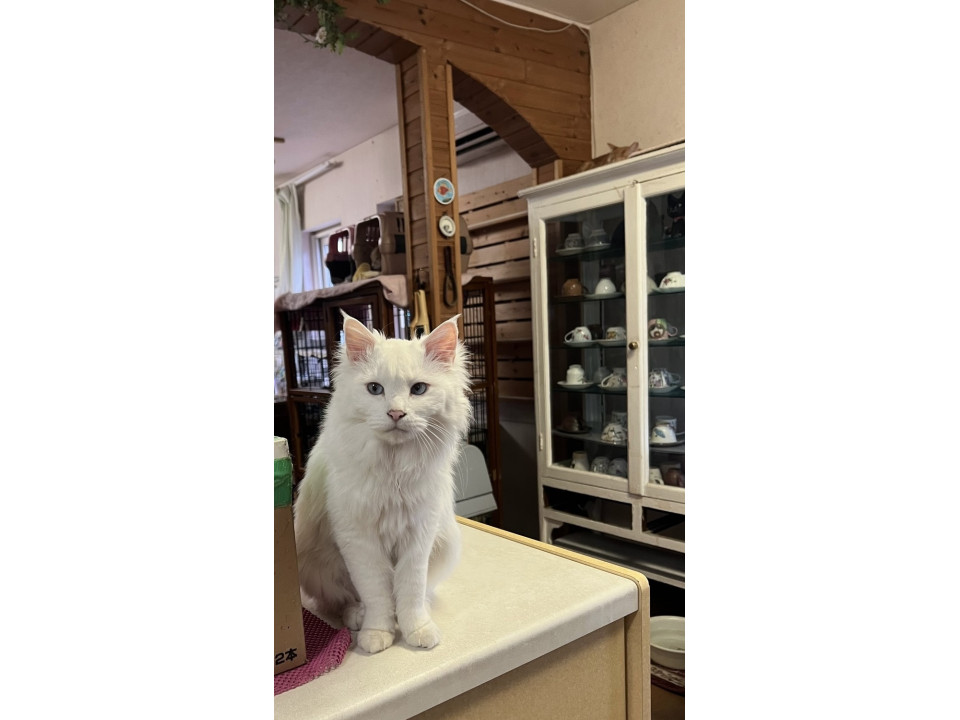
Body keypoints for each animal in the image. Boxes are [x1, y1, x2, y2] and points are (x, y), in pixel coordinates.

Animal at [293, 313, 471, 654]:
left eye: (418, 389)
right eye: (375, 389)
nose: (396, 413)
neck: (394, 468)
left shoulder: (419, 535)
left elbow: (410, 591)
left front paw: (417, 630)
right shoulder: (358, 539)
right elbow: (376, 592)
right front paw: (377, 634)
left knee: (423, 591)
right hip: (317, 567)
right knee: (344, 600)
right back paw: (357, 617)